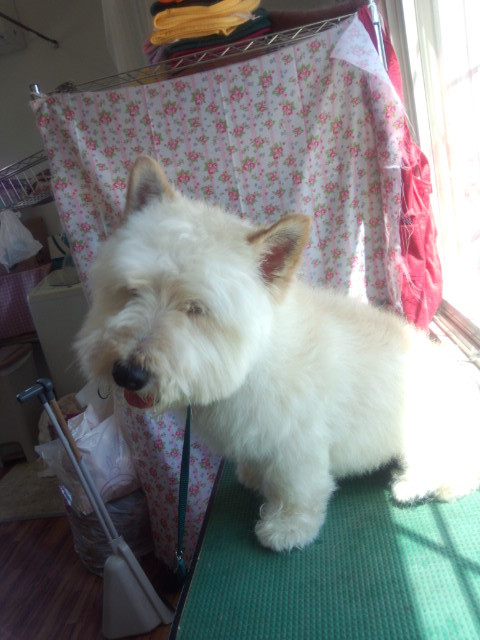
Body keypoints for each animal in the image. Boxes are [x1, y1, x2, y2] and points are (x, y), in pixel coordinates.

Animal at [75, 155, 480, 552]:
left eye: (196, 309)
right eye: (132, 290)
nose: (127, 373)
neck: (254, 361)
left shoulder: (297, 447)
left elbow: (296, 491)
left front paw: (287, 527)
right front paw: (255, 478)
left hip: (428, 435)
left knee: (456, 471)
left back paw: (414, 485)